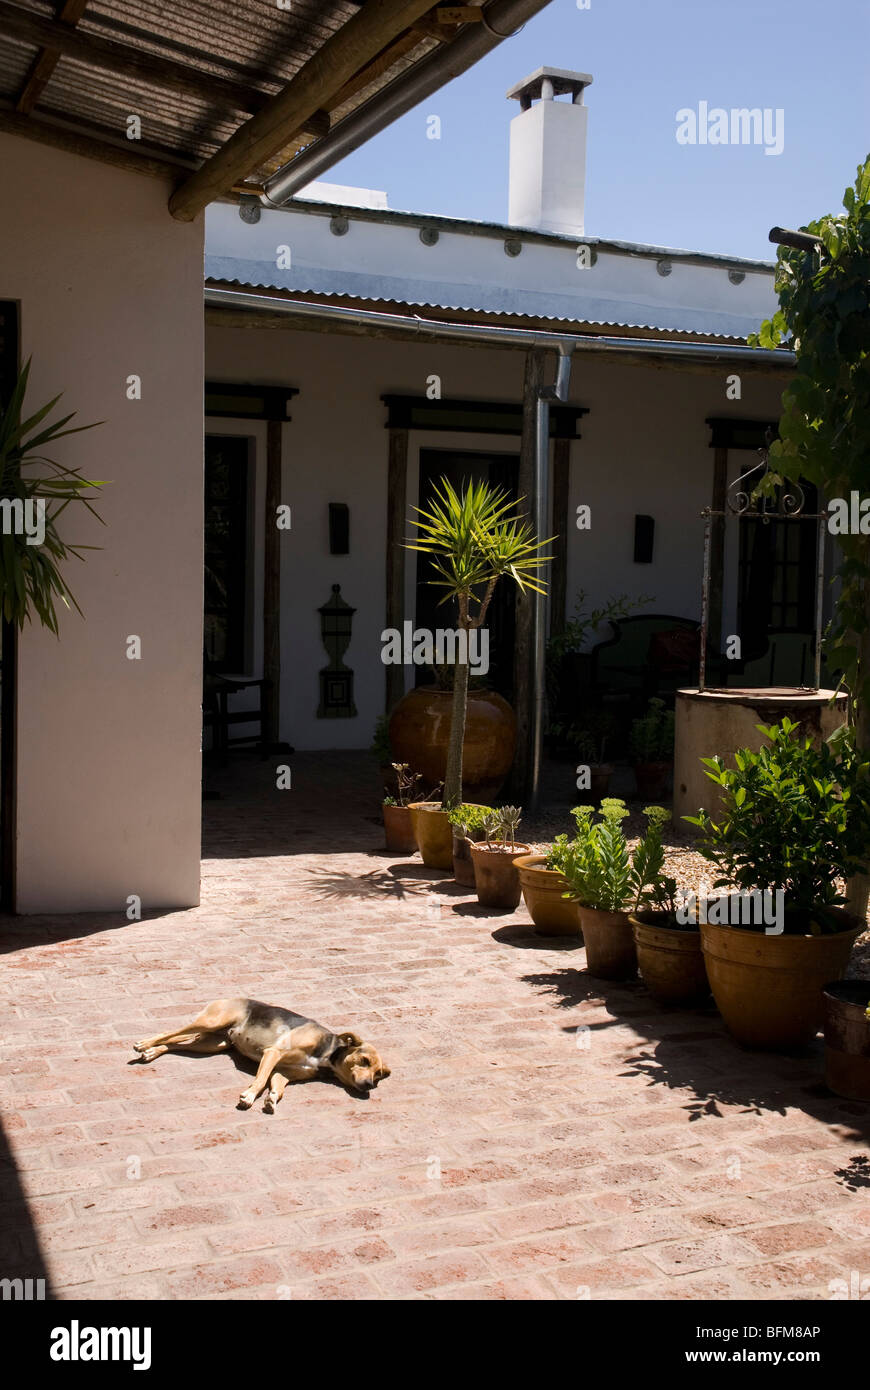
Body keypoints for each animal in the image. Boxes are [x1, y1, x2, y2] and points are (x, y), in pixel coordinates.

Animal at [130, 995, 389, 1112]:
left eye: (378, 1075)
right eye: (364, 1060)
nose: (370, 1086)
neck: (327, 1054)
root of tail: (231, 997)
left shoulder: (284, 1073)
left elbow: (276, 1087)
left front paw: (271, 1099)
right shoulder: (273, 1053)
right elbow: (261, 1080)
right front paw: (249, 1096)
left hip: (214, 1043)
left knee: (176, 1043)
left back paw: (152, 1052)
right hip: (211, 1023)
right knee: (169, 1032)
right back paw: (144, 1044)